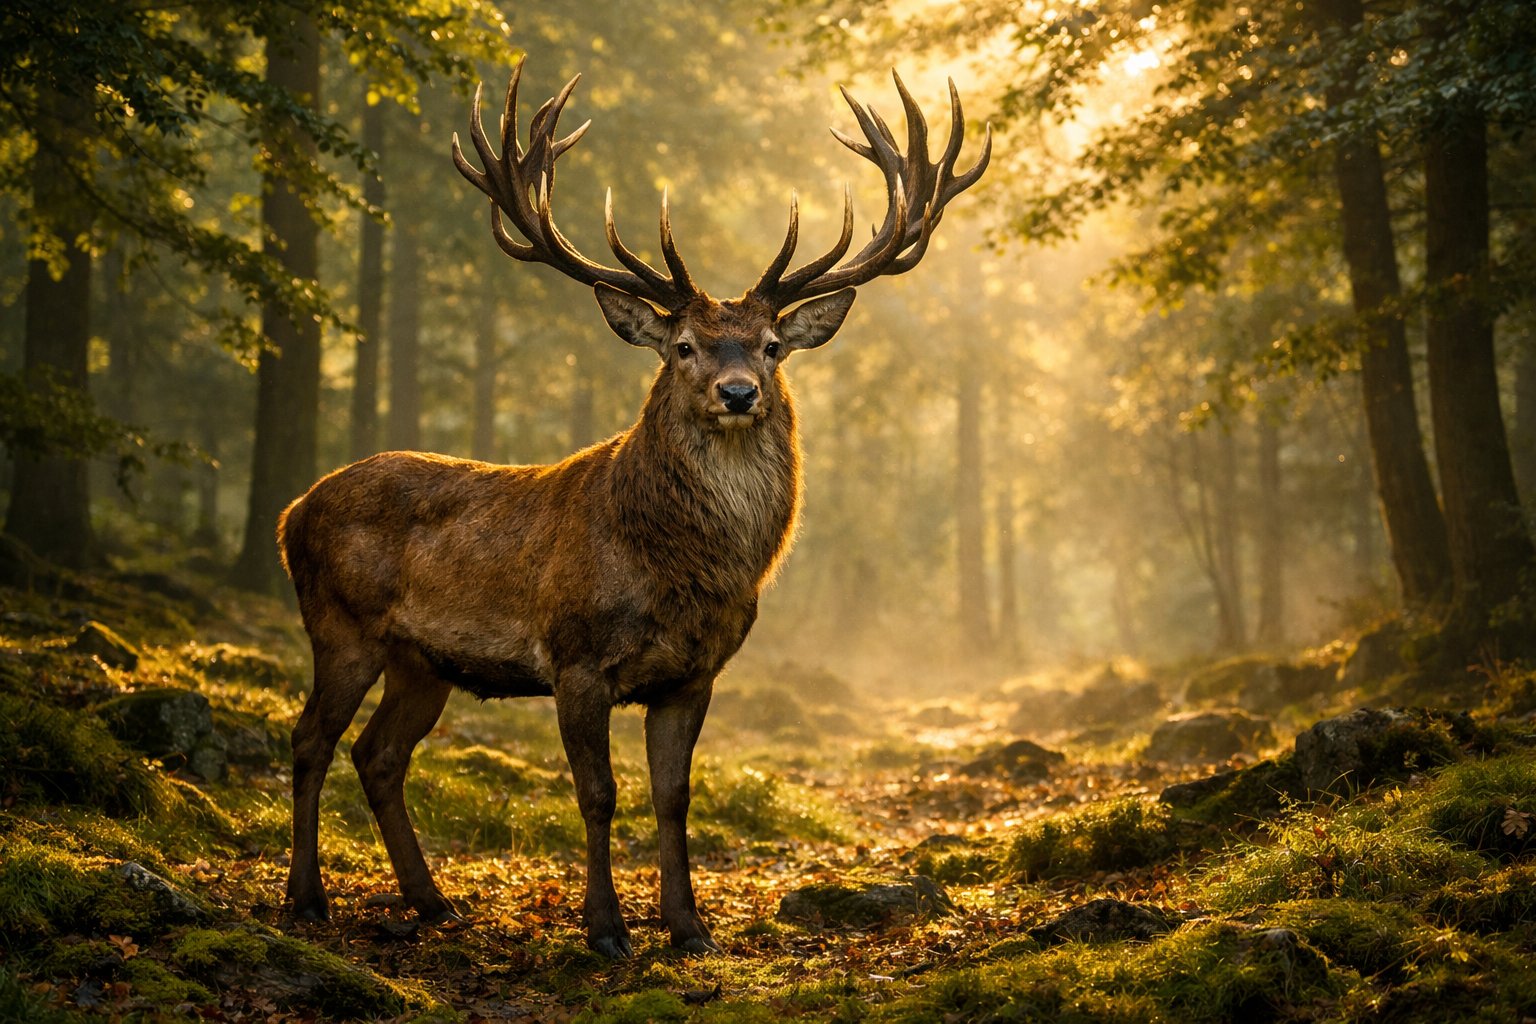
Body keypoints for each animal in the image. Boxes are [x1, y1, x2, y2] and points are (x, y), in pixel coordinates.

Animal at [277, 57, 988, 958]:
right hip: (341, 624)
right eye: (683, 346)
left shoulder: (694, 674)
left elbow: (672, 797)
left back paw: (433, 902)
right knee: (310, 739)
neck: (676, 572)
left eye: (772, 346)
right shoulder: (575, 658)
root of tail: (292, 511)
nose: (738, 392)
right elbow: (598, 795)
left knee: (378, 755)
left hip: (423, 661)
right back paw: (306, 898)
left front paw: (689, 927)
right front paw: (606, 929)